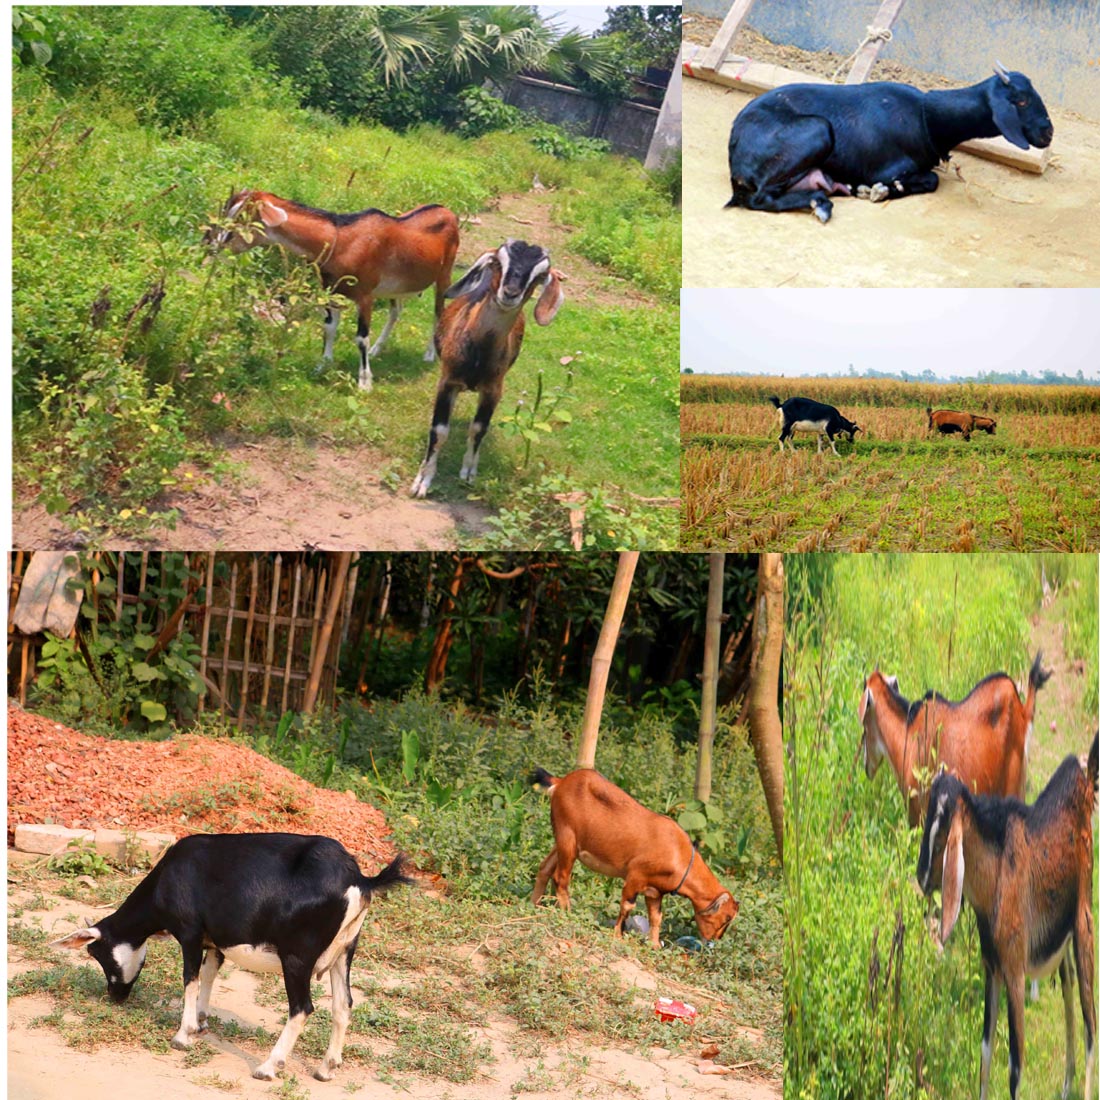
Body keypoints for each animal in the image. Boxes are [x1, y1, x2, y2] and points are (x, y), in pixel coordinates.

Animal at [52, 831, 413, 1082]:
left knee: (302, 1008)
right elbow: (210, 974)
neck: (169, 876)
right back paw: (326, 1069)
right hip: (344, 952)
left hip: (297, 957)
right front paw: (201, 1021)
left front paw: (182, 1036)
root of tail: (359, 880)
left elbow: (190, 979)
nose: (115, 995)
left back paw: (268, 1068)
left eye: (96, 952)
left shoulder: (190, 933)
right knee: (343, 1005)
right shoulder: (215, 942)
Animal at [206, 188, 459, 391]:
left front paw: (364, 382)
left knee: (438, 310)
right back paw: (378, 349)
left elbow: (361, 338)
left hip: (444, 273)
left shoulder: (365, 295)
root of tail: (447, 211)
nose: (212, 244)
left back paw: (429, 353)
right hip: (396, 286)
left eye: (241, 217)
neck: (342, 242)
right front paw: (323, 365)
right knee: (396, 311)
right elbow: (329, 328)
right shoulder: (331, 292)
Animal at [413, 242, 567, 503]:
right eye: (497, 262)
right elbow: (439, 430)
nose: (510, 293)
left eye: (540, 275)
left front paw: (468, 472)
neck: (478, 354)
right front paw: (422, 481)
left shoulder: (494, 389)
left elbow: (478, 429)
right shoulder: (447, 381)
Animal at [525, 770, 734, 950]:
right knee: (561, 877)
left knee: (544, 867)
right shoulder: (635, 876)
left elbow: (656, 917)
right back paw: (567, 913)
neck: (679, 853)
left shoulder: (655, 891)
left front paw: (655, 945)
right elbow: (627, 905)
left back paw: (532, 905)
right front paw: (618, 935)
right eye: (726, 919)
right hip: (567, 836)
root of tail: (561, 782)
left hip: (566, 842)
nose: (714, 941)